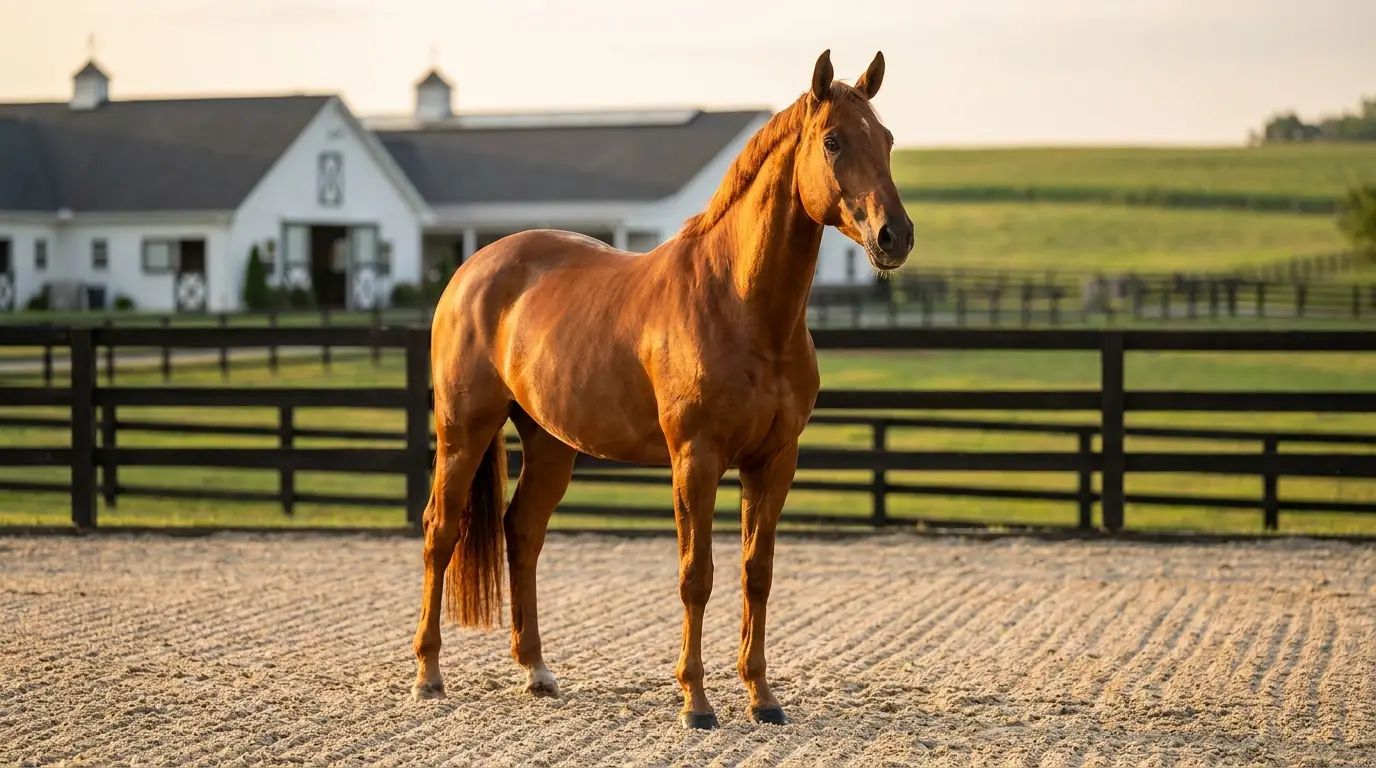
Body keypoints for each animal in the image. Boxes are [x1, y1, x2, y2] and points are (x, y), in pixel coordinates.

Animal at [410, 49, 913, 729]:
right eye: (833, 141)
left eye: (886, 139)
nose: (895, 236)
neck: (741, 305)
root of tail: (472, 270)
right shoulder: (694, 460)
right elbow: (695, 575)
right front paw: (696, 703)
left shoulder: (774, 462)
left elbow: (756, 573)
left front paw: (761, 697)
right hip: (463, 430)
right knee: (440, 532)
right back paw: (429, 675)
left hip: (550, 443)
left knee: (523, 532)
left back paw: (536, 670)